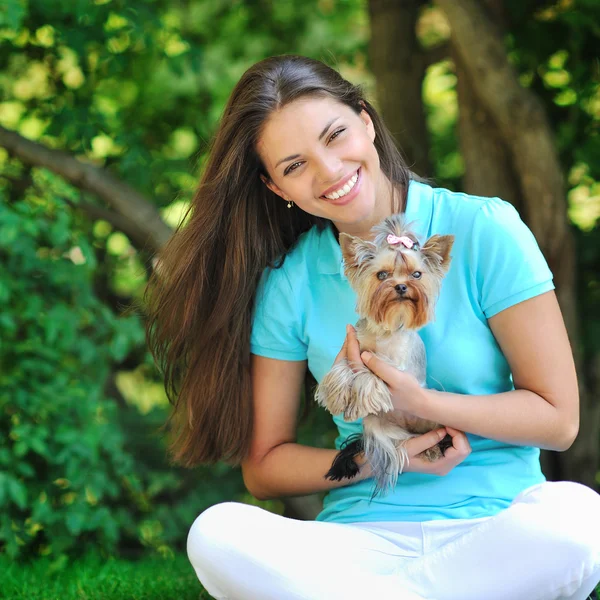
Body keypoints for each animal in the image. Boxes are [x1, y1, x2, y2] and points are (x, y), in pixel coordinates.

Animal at [316, 213, 452, 494]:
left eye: (417, 274)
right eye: (381, 275)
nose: (401, 286)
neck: (385, 328)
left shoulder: (396, 364)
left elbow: (372, 365)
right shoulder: (353, 344)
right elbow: (343, 367)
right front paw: (337, 394)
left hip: (434, 413)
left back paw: (433, 448)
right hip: (377, 426)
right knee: (399, 441)